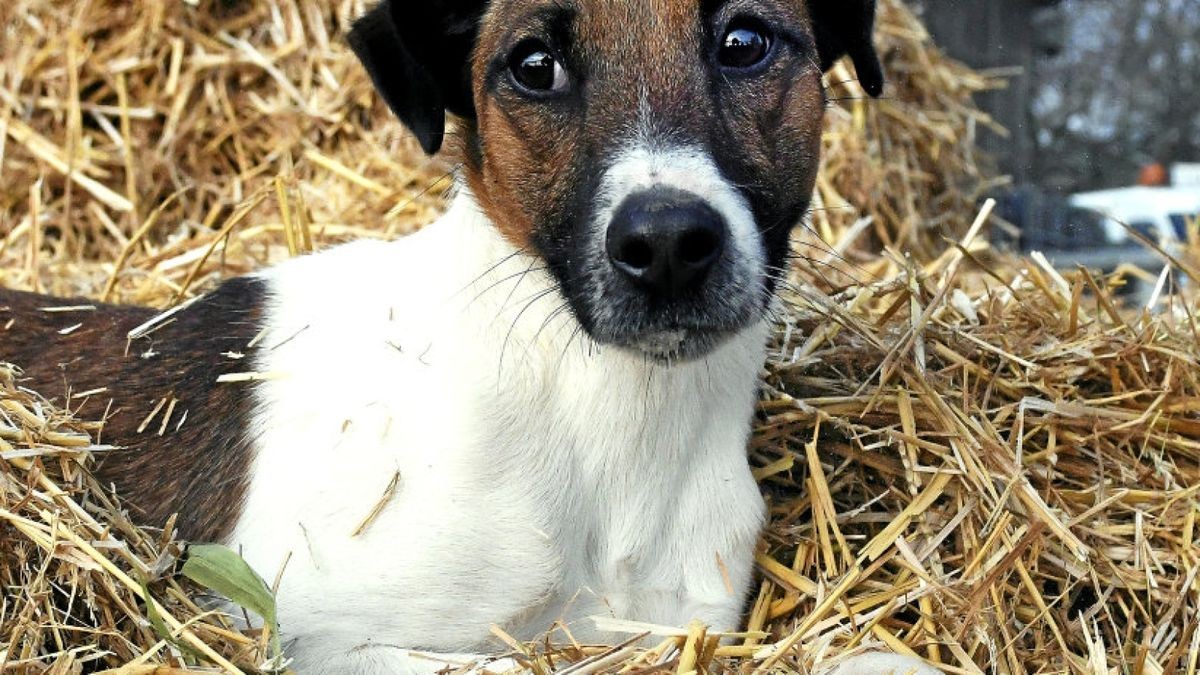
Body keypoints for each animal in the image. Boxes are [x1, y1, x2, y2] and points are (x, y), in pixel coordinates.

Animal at [2, 1, 945, 672]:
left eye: (744, 41)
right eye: (534, 66)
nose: (670, 246)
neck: (596, 415)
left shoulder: (681, 624)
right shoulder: (297, 633)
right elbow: (505, 665)